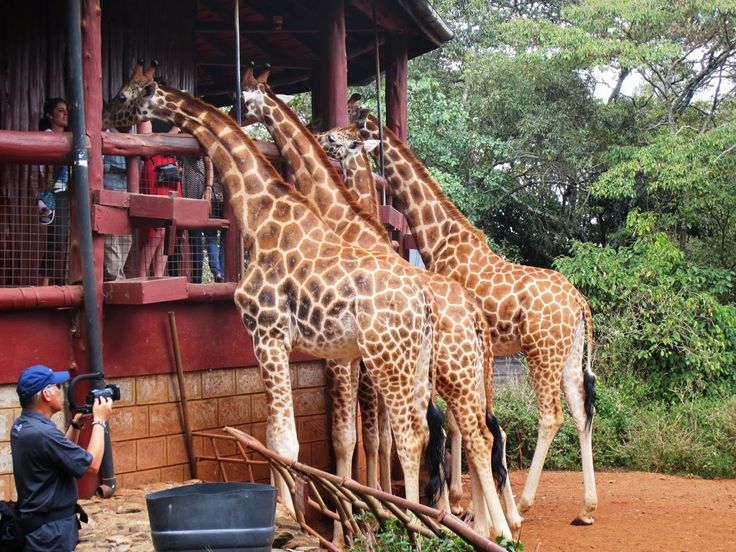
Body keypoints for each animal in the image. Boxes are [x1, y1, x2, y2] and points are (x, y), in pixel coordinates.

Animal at [101, 61, 448, 520]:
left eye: (124, 94)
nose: (105, 116)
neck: (261, 213)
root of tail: (424, 303)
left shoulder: (268, 334)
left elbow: (288, 440)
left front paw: (292, 513)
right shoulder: (296, 345)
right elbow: (279, 436)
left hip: (387, 358)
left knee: (410, 435)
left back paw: (411, 519)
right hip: (414, 360)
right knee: (427, 430)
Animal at [239, 64, 520, 540]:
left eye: (337, 134)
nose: (318, 129)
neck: (349, 223)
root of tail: (474, 314)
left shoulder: (349, 360)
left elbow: (357, 437)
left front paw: (364, 516)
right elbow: (380, 436)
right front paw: (383, 507)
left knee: (460, 429)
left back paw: (474, 517)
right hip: (463, 370)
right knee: (476, 427)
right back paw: (488, 517)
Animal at [350, 104, 600, 528]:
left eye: (355, 126)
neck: (440, 240)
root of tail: (580, 302)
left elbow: (456, 421)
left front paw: (459, 498)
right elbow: (462, 421)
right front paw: (466, 498)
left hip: (541, 352)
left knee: (552, 416)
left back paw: (527, 502)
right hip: (568, 354)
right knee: (582, 411)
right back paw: (586, 507)